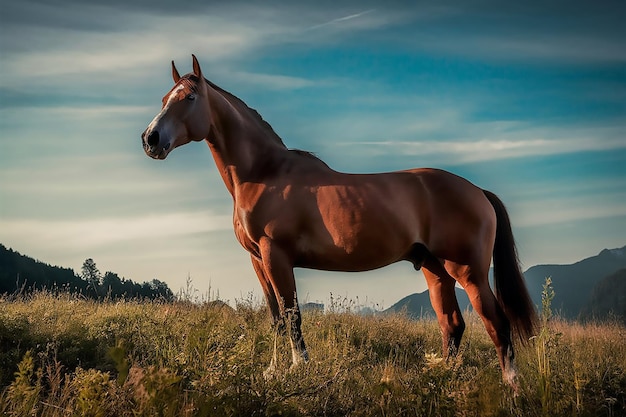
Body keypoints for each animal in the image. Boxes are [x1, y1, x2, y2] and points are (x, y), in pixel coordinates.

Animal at [141, 54, 536, 386]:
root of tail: (477, 190)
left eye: (190, 98)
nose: (150, 139)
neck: (264, 173)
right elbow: (275, 318)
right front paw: (272, 371)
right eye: (164, 99)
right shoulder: (257, 260)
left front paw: (298, 368)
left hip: (468, 272)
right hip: (435, 270)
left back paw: (511, 384)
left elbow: (292, 315)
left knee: (497, 322)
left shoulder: (275, 256)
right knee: (452, 325)